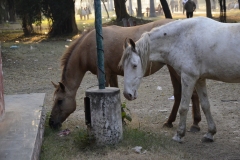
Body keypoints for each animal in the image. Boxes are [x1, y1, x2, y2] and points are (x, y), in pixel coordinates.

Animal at [49, 19, 201, 130]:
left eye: (60, 100)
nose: (51, 123)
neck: (88, 46)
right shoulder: (112, 74)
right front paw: (121, 120)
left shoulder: (103, 74)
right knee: (180, 94)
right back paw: (171, 121)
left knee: (192, 93)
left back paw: (195, 123)